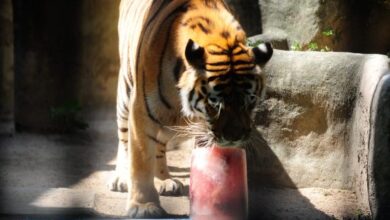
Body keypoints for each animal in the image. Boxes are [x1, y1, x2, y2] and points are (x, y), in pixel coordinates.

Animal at [109, 0, 274, 217]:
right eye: (215, 103)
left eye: (251, 100)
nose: (234, 137)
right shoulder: (141, 111)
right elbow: (141, 160)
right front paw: (143, 206)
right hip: (125, 93)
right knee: (123, 139)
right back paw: (121, 177)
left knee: (159, 146)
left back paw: (164, 180)